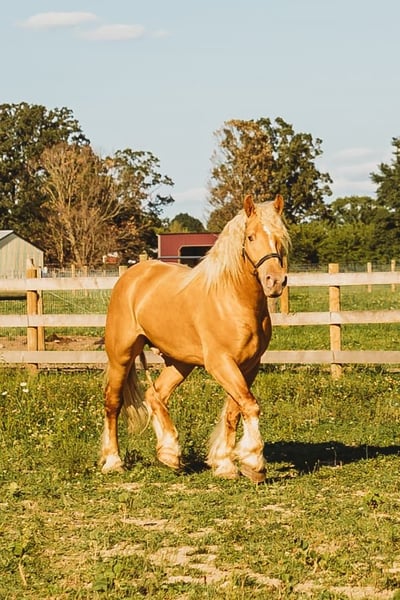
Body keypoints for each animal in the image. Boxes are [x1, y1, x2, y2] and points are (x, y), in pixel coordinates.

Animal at [100, 194, 289, 483]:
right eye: (251, 237)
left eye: (281, 237)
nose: (275, 281)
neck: (233, 299)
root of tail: (132, 276)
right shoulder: (220, 363)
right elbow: (249, 406)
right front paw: (253, 463)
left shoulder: (249, 365)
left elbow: (234, 411)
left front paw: (225, 464)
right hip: (120, 355)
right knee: (113, 403)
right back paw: (113, 461)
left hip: (181, 362)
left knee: (155, 395)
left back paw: (169, 454)